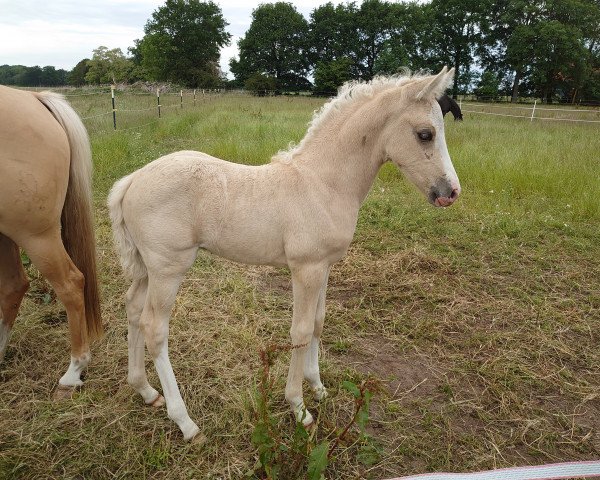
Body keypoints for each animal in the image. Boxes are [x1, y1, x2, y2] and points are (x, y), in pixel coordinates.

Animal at [109, 67, 460, 442]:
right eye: (425, 134)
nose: (451, 192)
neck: (323, 183)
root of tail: (132, 180)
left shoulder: (324, 267)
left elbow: (319, 322)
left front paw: (317, 387)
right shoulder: (306, 269)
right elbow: (301, 331)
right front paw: (299, 407)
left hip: (147, 268)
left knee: (133, 309)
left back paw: (145, 390)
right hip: (168, 269)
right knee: (154, 328)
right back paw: (186, 422)